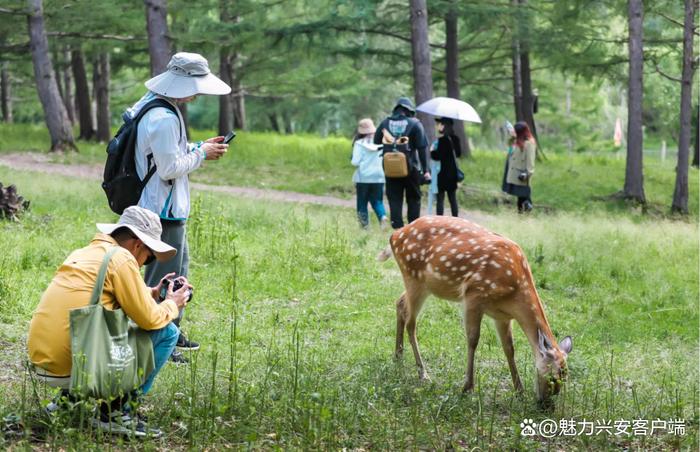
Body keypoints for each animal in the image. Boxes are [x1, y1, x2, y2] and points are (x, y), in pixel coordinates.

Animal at [380, 215, 572, 402]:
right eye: (553, 377)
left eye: (565, 378)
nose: (546, 405)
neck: (514, 292)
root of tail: (394, 235)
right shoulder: (473, 296)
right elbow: (473, 340)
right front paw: (468, 387)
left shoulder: (502, 316)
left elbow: (509, 348)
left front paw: (519, 391)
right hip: (413, 277)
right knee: (411, 323)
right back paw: (423, 373)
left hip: (422, 284)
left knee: (400, 304)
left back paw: (398, 356)